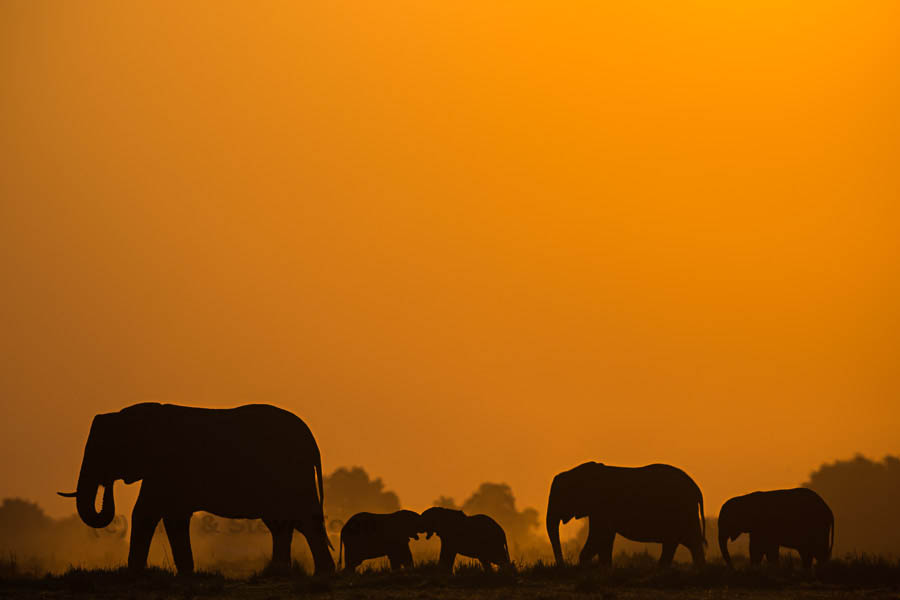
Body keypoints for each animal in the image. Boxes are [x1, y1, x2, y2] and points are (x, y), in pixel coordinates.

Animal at [58, 403, 335, 575]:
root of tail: (312, 441)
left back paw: (322, 573)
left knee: (304, 520)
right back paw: (283, 572)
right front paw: (186, 573)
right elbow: (167, 515)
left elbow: (149, 512)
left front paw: (133, 573)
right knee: (283, 523)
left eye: (102, 451)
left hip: (291, 473)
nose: (106, 484)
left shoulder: (166, 466)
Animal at [547, 462, 706, 567]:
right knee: (682, 542)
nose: (562, 564)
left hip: (682, 511)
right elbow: (605, 539)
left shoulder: (602, 506)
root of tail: (696, 488)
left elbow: (600, 535)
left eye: (560, 497)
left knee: (686, 542)